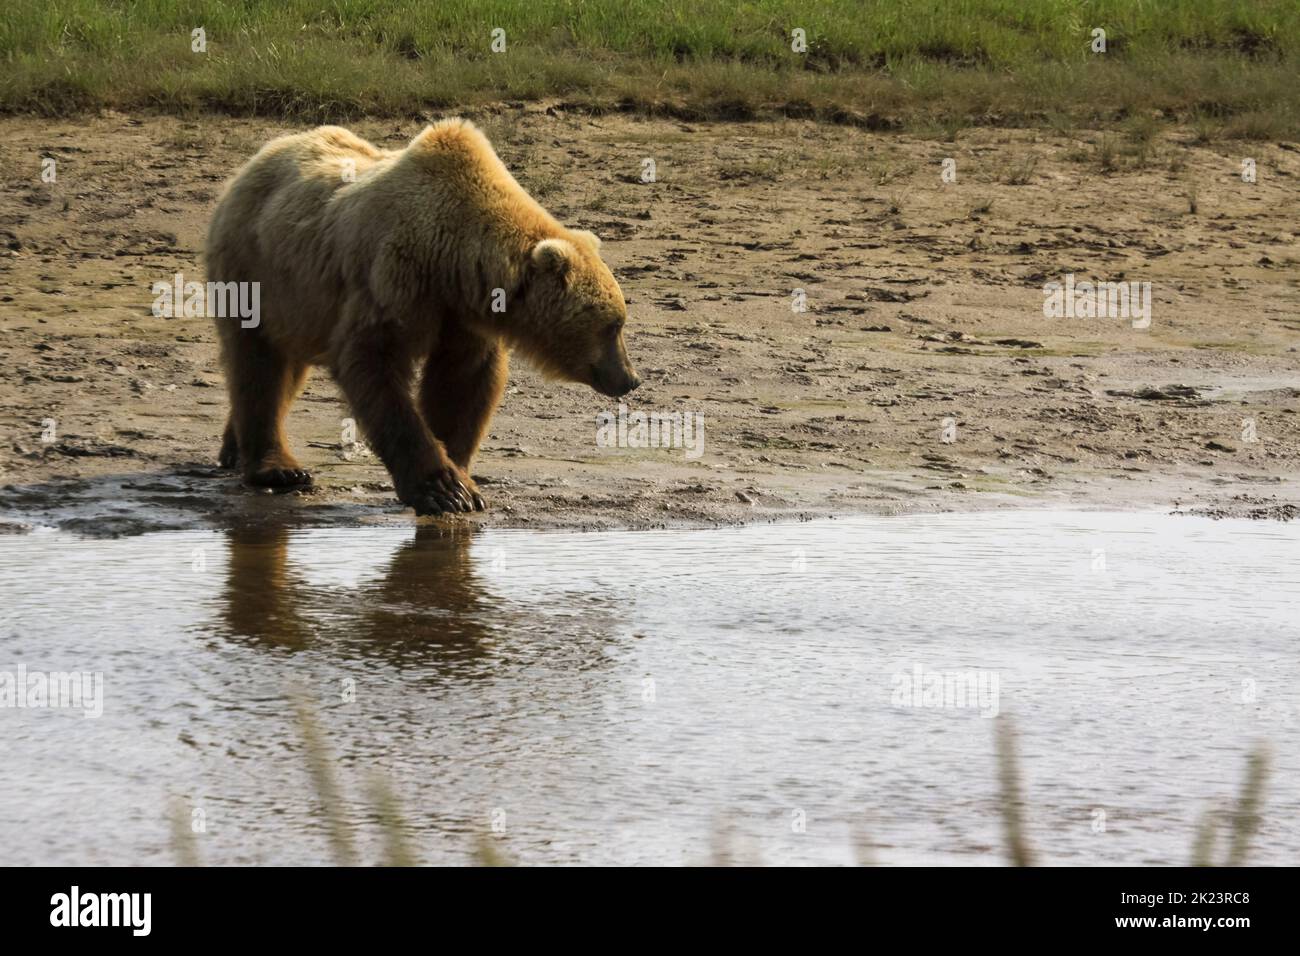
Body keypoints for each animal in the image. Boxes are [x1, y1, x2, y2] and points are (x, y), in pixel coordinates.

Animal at [205, 124, 642, 520]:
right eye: (613, 325)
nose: (630, 378)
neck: (452, 261)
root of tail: (262, 154)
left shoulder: (463, 316)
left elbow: (460, 382)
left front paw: (460, 476)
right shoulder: (394, 281)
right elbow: (374, 365)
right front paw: (445, 490)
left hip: (297, 302)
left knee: (283, 365)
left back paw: (233, 449)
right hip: (255, 270)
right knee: (259, 364)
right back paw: (277, 468)